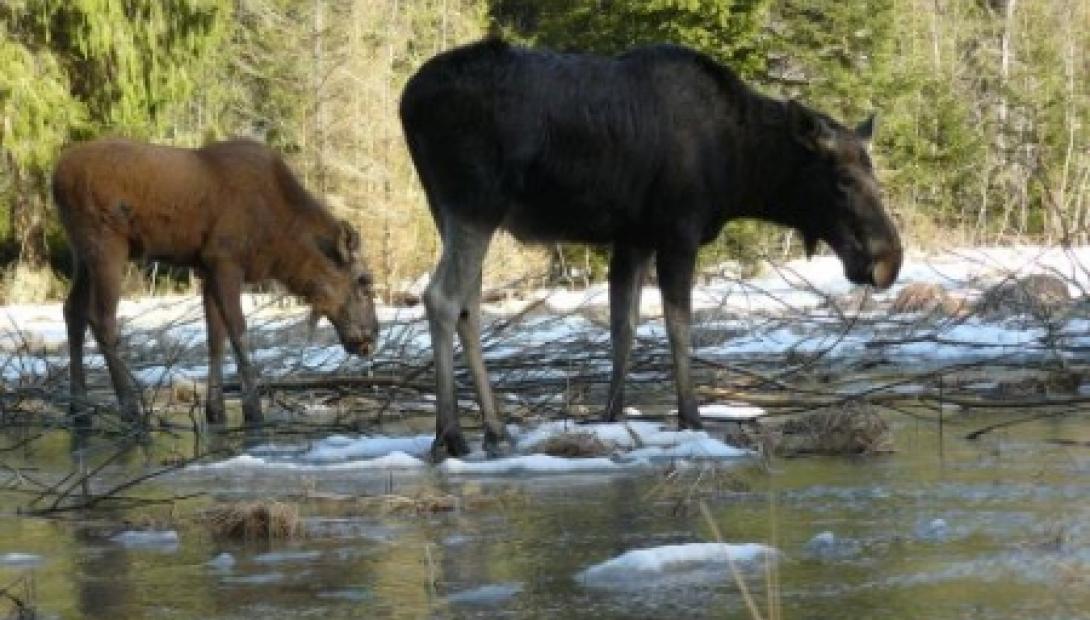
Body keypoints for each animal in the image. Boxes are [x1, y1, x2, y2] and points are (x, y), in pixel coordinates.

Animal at [54, 136, 379, 424]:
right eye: (364, 281)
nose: (372, 336)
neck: (278, 237)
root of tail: (54, 179)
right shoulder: (225, 260)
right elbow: (238, 332)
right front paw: (253, 410)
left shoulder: (207, 267)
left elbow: (215, 337)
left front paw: (215, 410)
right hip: (107, 243)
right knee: (102, 319)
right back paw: (130, 407)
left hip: (81, 252)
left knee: (72, 311)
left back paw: (78, 406)